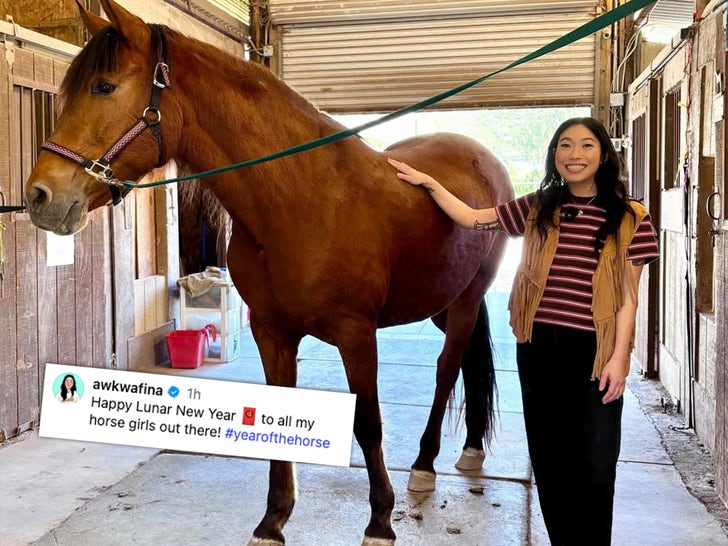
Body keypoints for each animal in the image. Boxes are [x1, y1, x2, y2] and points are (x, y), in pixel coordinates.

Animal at [24, 1, 514, 544]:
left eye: (104, 87)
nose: (40, 197)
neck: (301, 199)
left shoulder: (356, 333)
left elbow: (368, 422)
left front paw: (380, 521)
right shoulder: (271, 331)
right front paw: (273, 520)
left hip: (466, 298)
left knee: (448, 368)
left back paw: (426, 464)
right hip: (439, 302)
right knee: (467, 361)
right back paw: (466, 449)